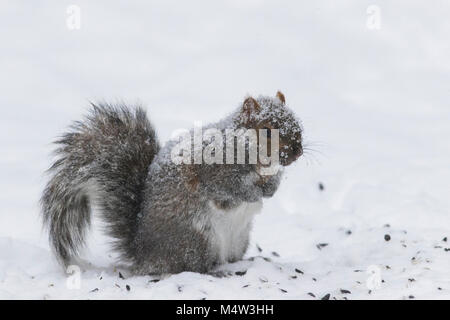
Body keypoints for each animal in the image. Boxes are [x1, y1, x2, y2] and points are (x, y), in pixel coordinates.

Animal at [42, 91, 302, 274]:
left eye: (297, 123)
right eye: (267, 131)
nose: (297, 152)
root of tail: (144, 255)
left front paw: (270, 190)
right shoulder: (214, 170)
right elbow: (231, 188)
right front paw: (254, 193)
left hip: (239, 240)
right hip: (196, 240)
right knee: (190, 267)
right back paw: (216, 273)